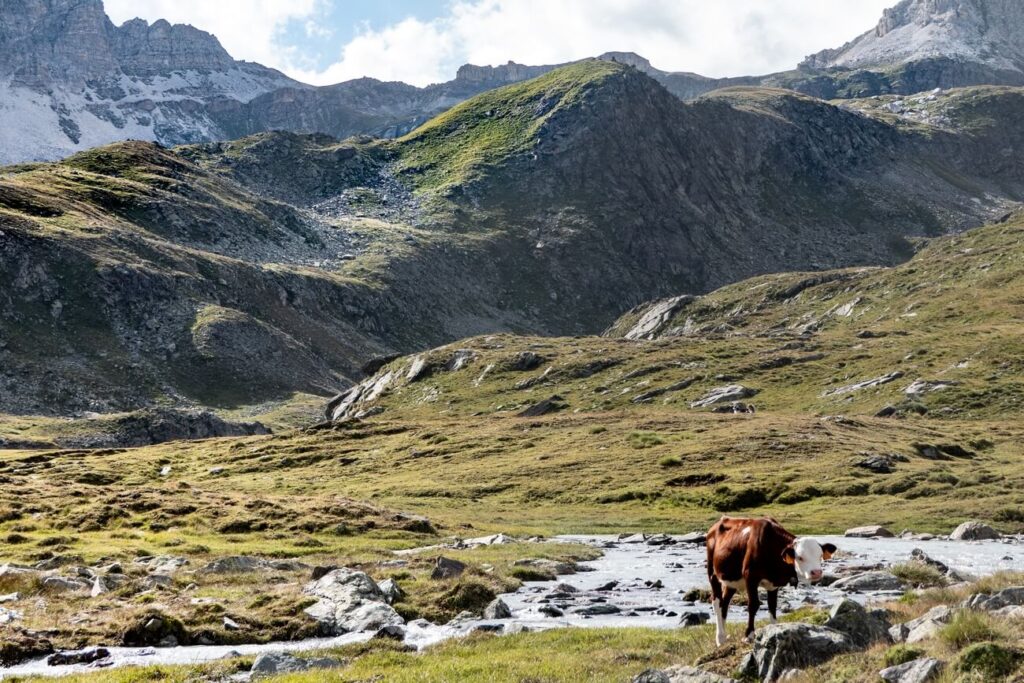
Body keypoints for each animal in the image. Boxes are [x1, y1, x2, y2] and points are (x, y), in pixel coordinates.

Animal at [708, 518, 835, 647]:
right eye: (800, 557)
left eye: (820, 555)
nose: (817, 572)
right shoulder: (750, 577)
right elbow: (753, 605)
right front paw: (748, 635)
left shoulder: (773, 585)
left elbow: (772, 606)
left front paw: (774, 629)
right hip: (713, 573)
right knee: (717, 602)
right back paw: (720, 638)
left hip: (731, 581)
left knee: (725, 603)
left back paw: (723, 636)